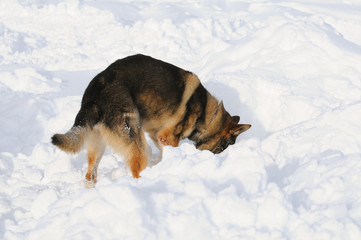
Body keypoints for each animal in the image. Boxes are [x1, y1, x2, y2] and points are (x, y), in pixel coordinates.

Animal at [52, 54, 250, 182]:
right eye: (224, 147)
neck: (207, 115)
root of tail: (95, 93)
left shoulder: (157, 136)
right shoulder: (168, 138)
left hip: (98, 144)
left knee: (90, 175)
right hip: (136, 141)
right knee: (136, 168)